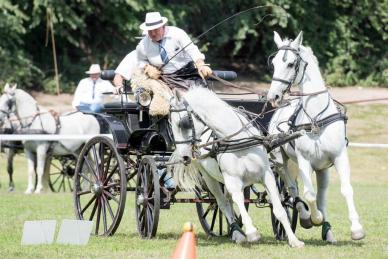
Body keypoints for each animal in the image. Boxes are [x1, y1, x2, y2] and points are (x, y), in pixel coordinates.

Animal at [168, 87, 304, 248]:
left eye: (182, 123)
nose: (184, 157)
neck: (238, 140)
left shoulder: (267, 175)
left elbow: (280, 209)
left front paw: (294, 240)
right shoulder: (233, 180)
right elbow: (239, 201)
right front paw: (252, 232)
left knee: (227, 201)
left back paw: (234, 231)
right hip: (209, 178)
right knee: (222, 203)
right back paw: (238, 233)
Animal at [266, 31, 366, 244]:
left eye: (290, 64)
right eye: (274, 63)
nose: (273, 97)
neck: (316, 118)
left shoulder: (339, 156)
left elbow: (345, 189)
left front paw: (356, 229)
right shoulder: (304, 160)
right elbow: (308, 195)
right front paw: (314, 218)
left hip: (322, 169)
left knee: (320, 195)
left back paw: (327, 231)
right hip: (281, 161)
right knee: (292, 191)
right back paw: (306, 216)